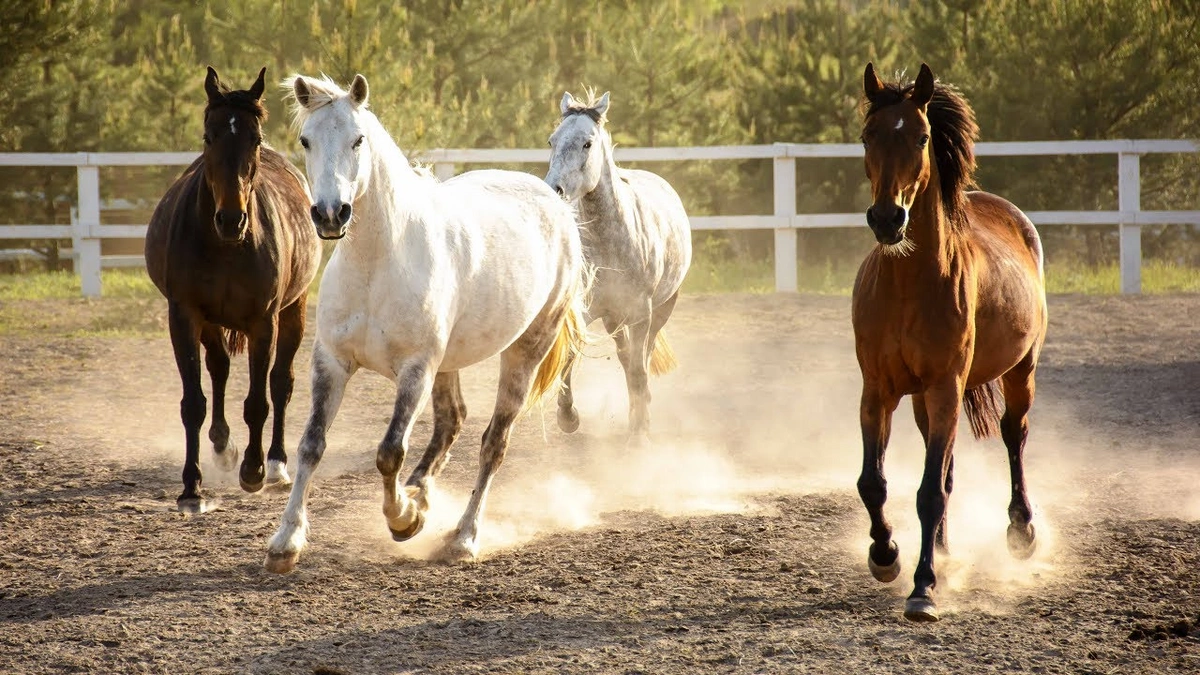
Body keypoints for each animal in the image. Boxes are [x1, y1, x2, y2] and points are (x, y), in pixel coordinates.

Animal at [144, 66, 321, 514]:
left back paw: (275, 464)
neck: (226, 246)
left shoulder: (264, 321)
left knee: (281, 382)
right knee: (219, 367)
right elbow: (194, 402)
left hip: (294, 311)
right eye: (209, 136)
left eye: (254, 139)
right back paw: (223, 447)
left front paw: (253, 471)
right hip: (210, 323)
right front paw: (191, 487)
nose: (230, 219)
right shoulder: (184, 316)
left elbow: (259, 400)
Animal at [263, 74, 586, 573]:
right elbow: (311, 444)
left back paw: (462, 537)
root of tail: (555, 201)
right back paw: (422, 493)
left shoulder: (416, 369)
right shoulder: (331, 362)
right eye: (305, 140)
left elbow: (389, 453)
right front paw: (286, 541)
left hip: (526, 348)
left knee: (494, 442)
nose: (330, 214)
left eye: (358, 139)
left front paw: (403, 519)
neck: (378, 261)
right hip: (448, 362)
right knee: (452, 420)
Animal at [544, 91, 692, 440]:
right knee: (625, 357)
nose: (553, 190)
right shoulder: (585, 310)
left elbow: (639, 368)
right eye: (552, 141)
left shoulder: (641, 314)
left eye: (587, 143)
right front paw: (568, 417)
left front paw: (639, 434)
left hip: (662, 309)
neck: (611, 241)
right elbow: (571, 354)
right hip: (614, 317)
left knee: (641, 358)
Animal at [852, 63, 1048, 622]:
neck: (909, 284)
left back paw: (1021, 530)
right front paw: (886, 555)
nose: (887, 219)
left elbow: (929, 492)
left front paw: (923, 588)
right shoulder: (877, 390)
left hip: (1019, 371)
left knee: (1013, 436)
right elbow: (873, 482)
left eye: (921, 137)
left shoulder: (945, 387)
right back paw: (938, 548)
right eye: (868, 135)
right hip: (924, 397)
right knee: (945, 463)